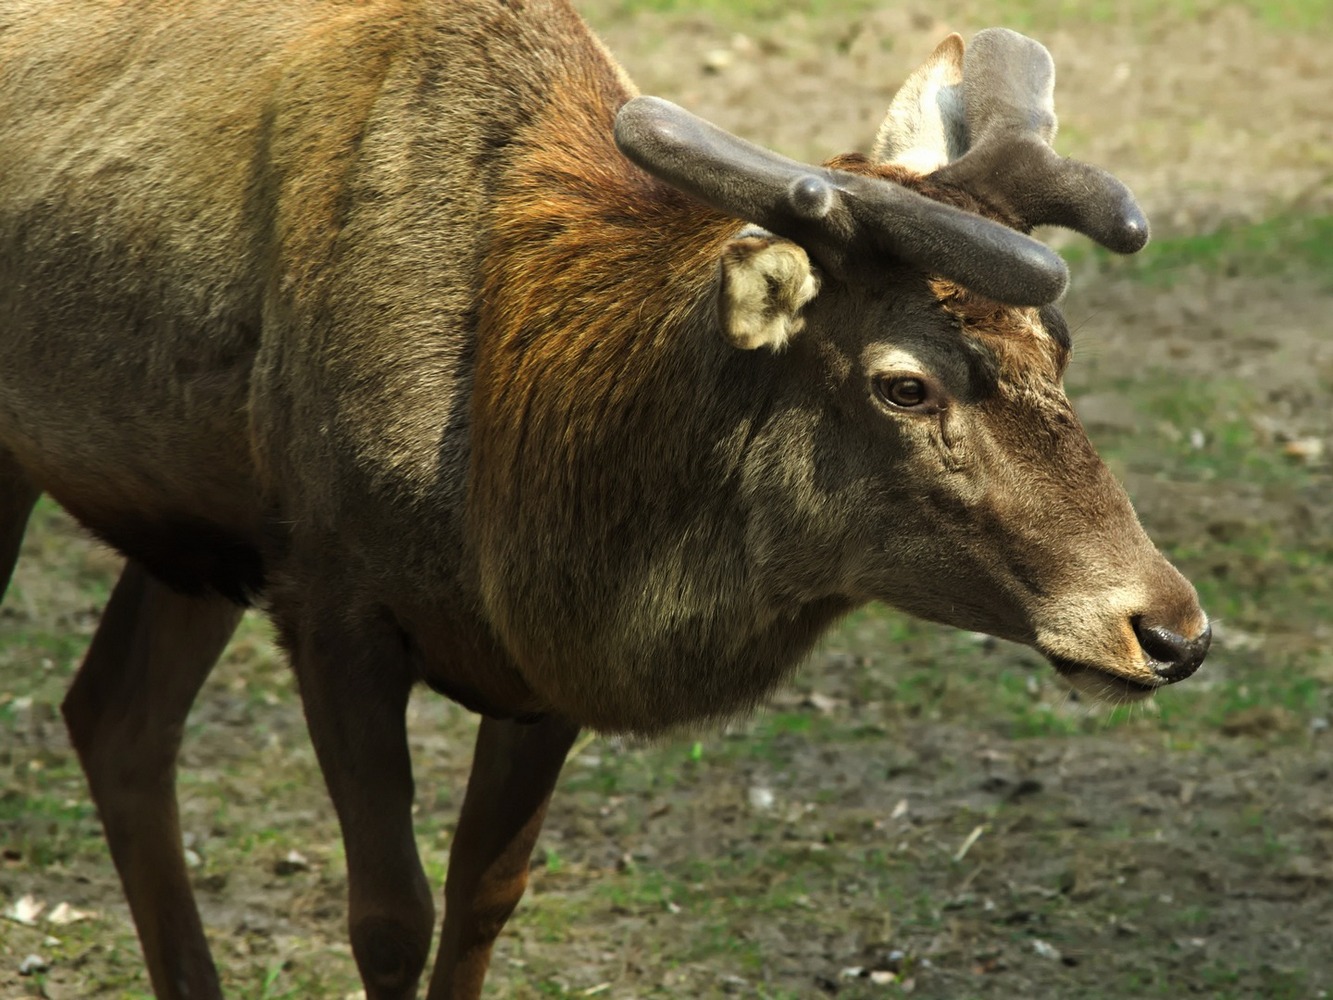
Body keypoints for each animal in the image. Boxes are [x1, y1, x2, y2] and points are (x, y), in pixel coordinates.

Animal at [0, 0, 1210, 997]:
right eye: (904, 383)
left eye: (1062, 344)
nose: (1170, 628)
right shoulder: (331, 597)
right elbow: (389, 920)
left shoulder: (545, 664)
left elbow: (485, 899)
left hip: (194, 537)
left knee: (114, 717)